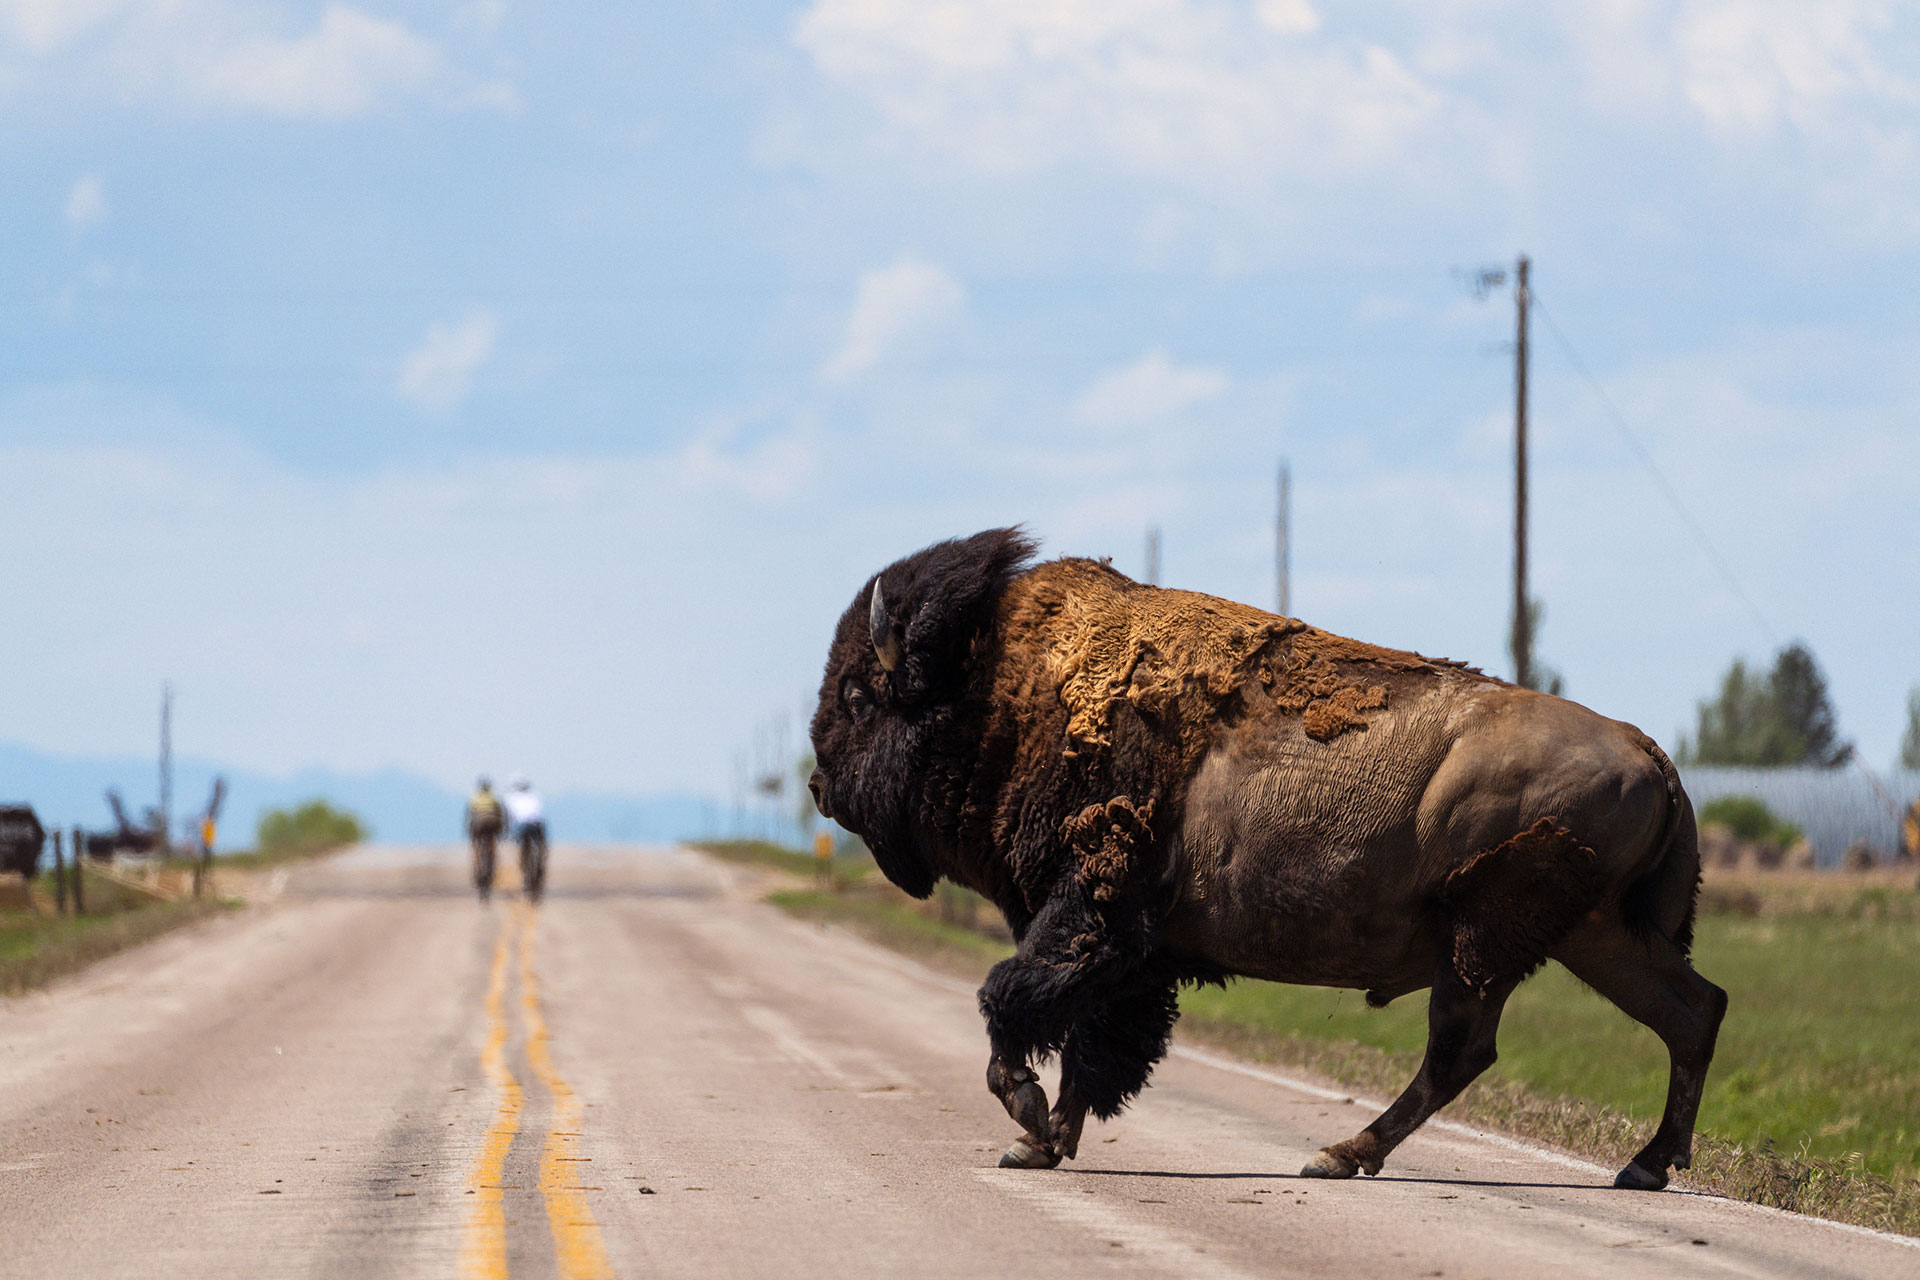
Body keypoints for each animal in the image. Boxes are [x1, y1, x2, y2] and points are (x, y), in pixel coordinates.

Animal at [808, 529, 1724, 1191]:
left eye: (858, 695)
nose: (817, 784)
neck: (1001, 692)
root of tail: (1651, 754)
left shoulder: (1089, 917)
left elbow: (1015, 1000)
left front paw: (1028, 1122)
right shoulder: (1131, 954)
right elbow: (1094, 1043)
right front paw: (1045, 1145)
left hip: (1484, 943)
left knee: (1462, 1051)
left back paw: (1340, 1154)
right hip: (1593, 936)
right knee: (1692, 1011)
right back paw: (1644, 1166)